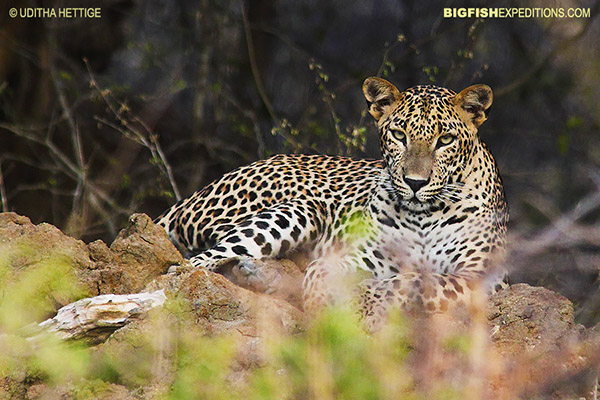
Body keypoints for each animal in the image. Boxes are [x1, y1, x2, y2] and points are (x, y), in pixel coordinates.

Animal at [154, 76, 506, 332]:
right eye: (398, 135)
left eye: (445, 140)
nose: (415, 182)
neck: (425, 216)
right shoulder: (360, 255)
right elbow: (322, 272)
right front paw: (323, 303)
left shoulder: (480, 278)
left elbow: (413, 281)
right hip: (299, 209)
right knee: (195, 262)